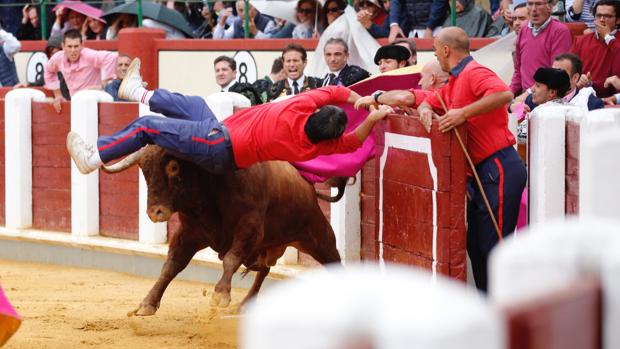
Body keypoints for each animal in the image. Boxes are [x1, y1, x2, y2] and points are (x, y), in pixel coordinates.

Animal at [104, 145, 342, 314]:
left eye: (173, 167)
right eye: (144, 170)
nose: (155, 212)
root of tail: (309, 186)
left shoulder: (249, 229)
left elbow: (230, 259)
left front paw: (220, 295)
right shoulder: (189, 233)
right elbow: (171, 265)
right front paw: (147, 303)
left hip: (317, 235)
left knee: (334, 260)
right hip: (270, 246)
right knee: (264, 270)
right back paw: (245, 304)